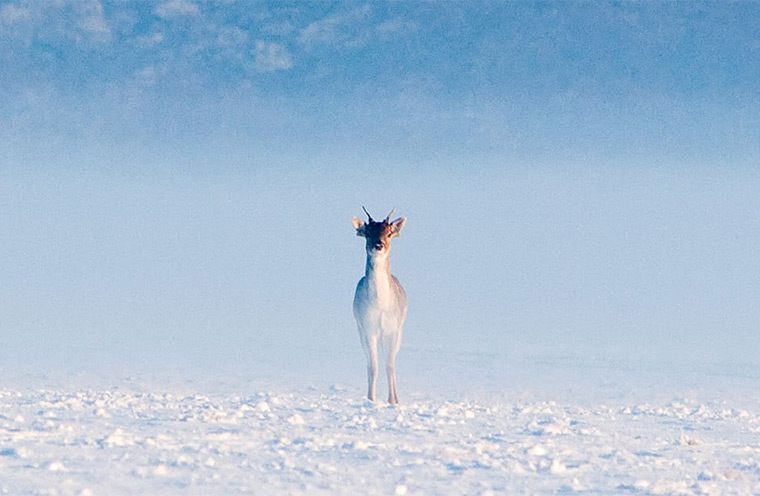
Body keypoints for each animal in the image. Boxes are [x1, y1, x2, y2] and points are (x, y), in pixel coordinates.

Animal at [352, 207, 408, 404]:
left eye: (389, 233)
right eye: (368, 233)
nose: (378, 245)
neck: (381, 307)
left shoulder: (393, 329)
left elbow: (389, 365)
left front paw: (393, 401)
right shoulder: (368, 328)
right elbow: (374, 366)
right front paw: (371, 399)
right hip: (360, 332)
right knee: (369, 363)